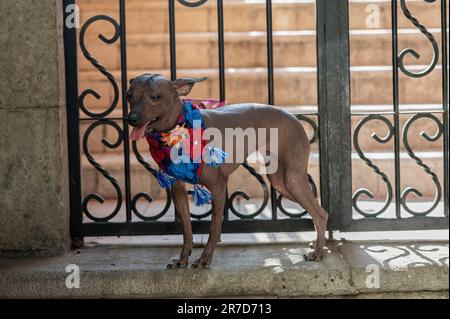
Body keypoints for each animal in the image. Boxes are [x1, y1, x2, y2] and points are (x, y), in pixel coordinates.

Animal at [125, 74, 328, 268]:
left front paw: (204, 259)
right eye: (129, 96)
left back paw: (318, 252)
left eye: (155, 97)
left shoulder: (219, 188)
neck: (178, 131)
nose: (131, 119)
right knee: (318, 211)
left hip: (293, 180)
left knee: (320, 213)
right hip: (281, 183)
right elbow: (187, 229)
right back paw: (317, 244)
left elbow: (214, 228)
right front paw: (182, 259)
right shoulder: (178, 190)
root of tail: (294, 118)